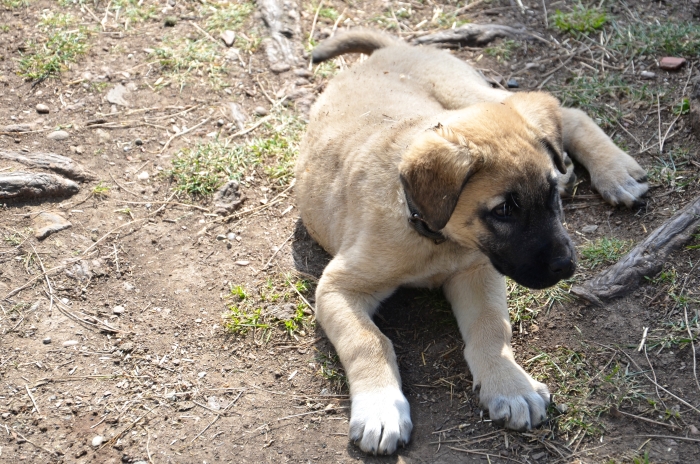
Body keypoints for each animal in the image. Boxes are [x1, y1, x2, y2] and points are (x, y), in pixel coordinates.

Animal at [292, 30, 648, 454]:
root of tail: (392, 48)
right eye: (504, 210)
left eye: (548, 197)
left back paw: (615, 172)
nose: (567, 266)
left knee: (565, 110)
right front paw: (381, 409)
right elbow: (368, 341)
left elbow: (491, 327)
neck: (435, 237)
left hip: (472, 93)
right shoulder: (338, 287)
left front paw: (510, 385)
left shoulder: (478, 271)